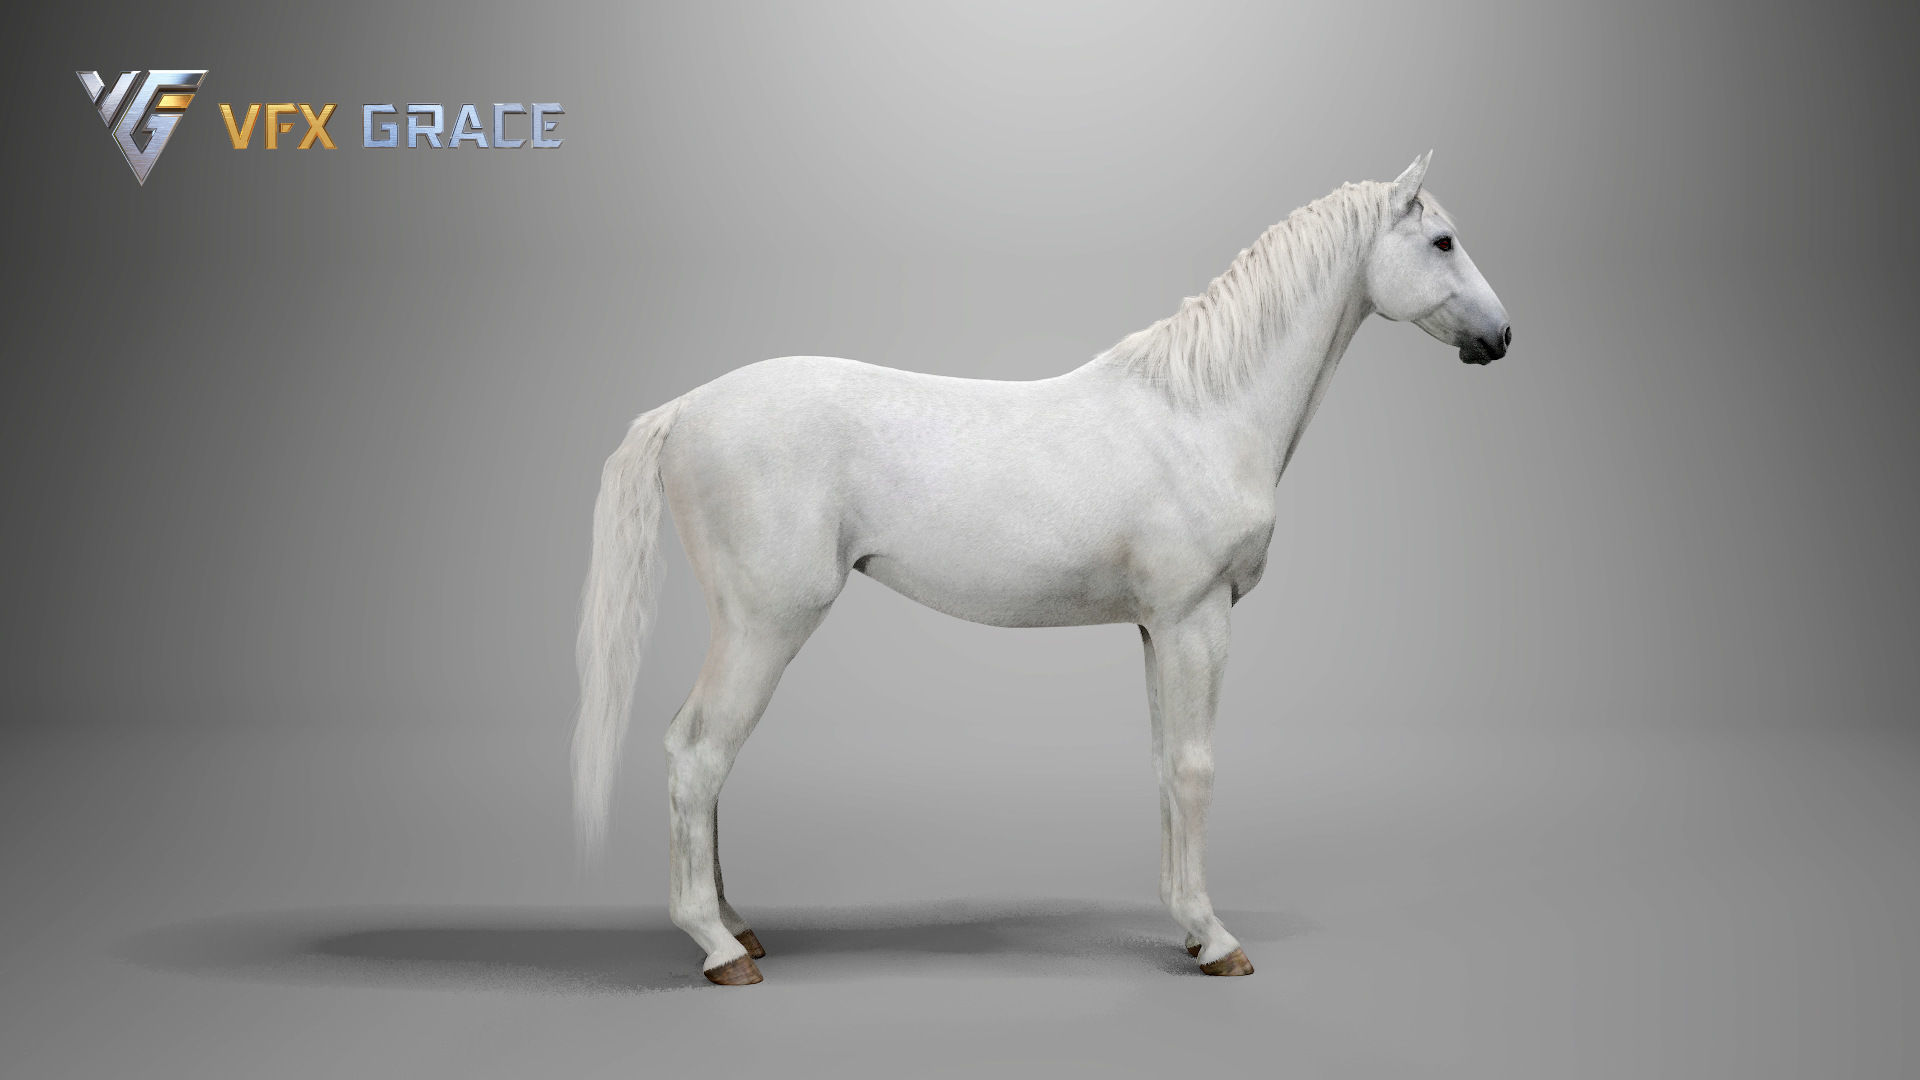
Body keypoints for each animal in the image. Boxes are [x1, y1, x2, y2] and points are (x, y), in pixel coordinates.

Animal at [571, 152, 1511, 985]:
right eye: (1442, 242)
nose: (1501, 336)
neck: (1202, 411)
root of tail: (686, 408)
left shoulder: (1156, 628)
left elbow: (1164, 766)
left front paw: (1185, 926)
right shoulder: (1197, 619)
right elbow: (1196, 768)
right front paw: (1215, 940)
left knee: (702, 757)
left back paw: (736, 927)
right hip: (765, 625)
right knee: (698, 753)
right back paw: (718, 949)